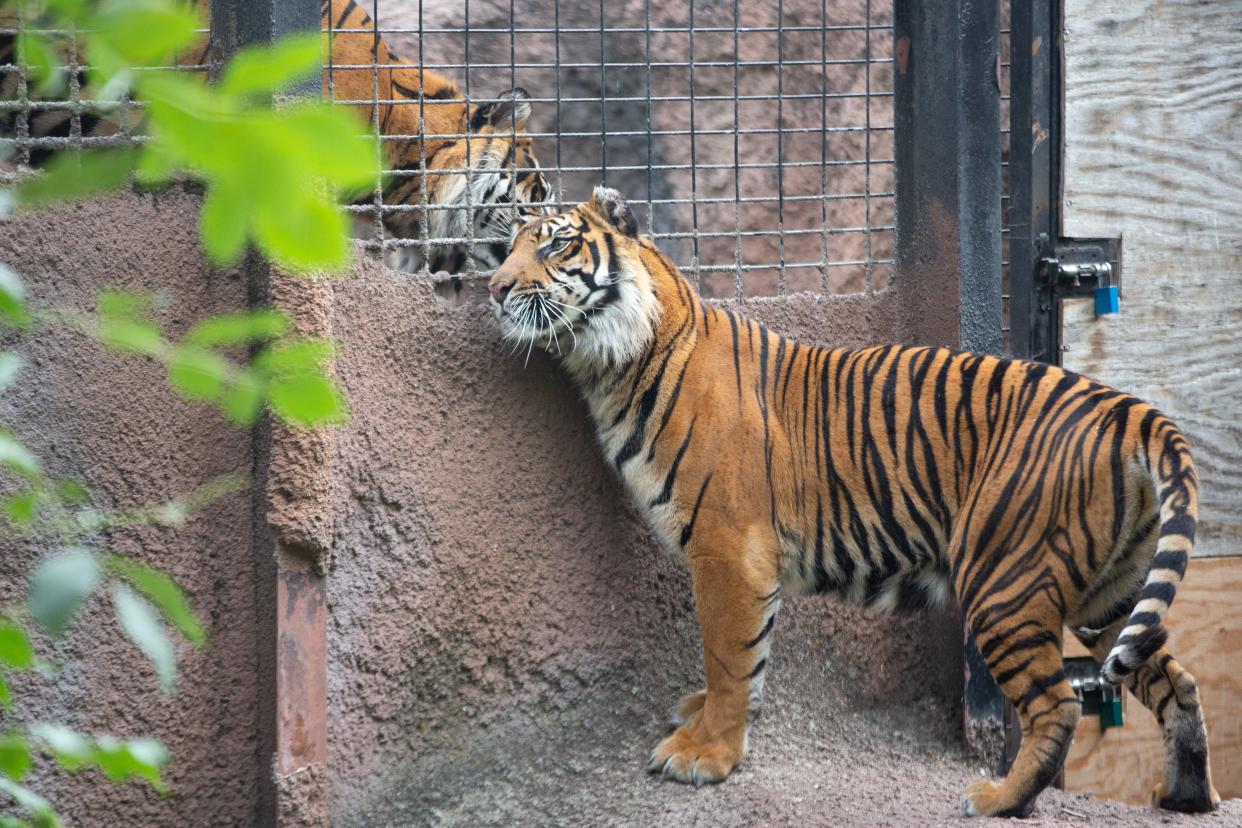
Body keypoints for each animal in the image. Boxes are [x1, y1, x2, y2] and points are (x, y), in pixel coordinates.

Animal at [484, 186, 1222, 814]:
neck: (614, 364)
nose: (493, 288)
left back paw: (998, 799)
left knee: (1059, 705)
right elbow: (749, 657)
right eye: (508, 246)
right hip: (1111, 593)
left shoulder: (727, 550)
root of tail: (1129, 410)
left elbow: (727, 655)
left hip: (1004, 580)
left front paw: (706, 755)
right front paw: (718, 726)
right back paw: (1185, 796)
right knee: (1176, 682)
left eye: (555, 245)